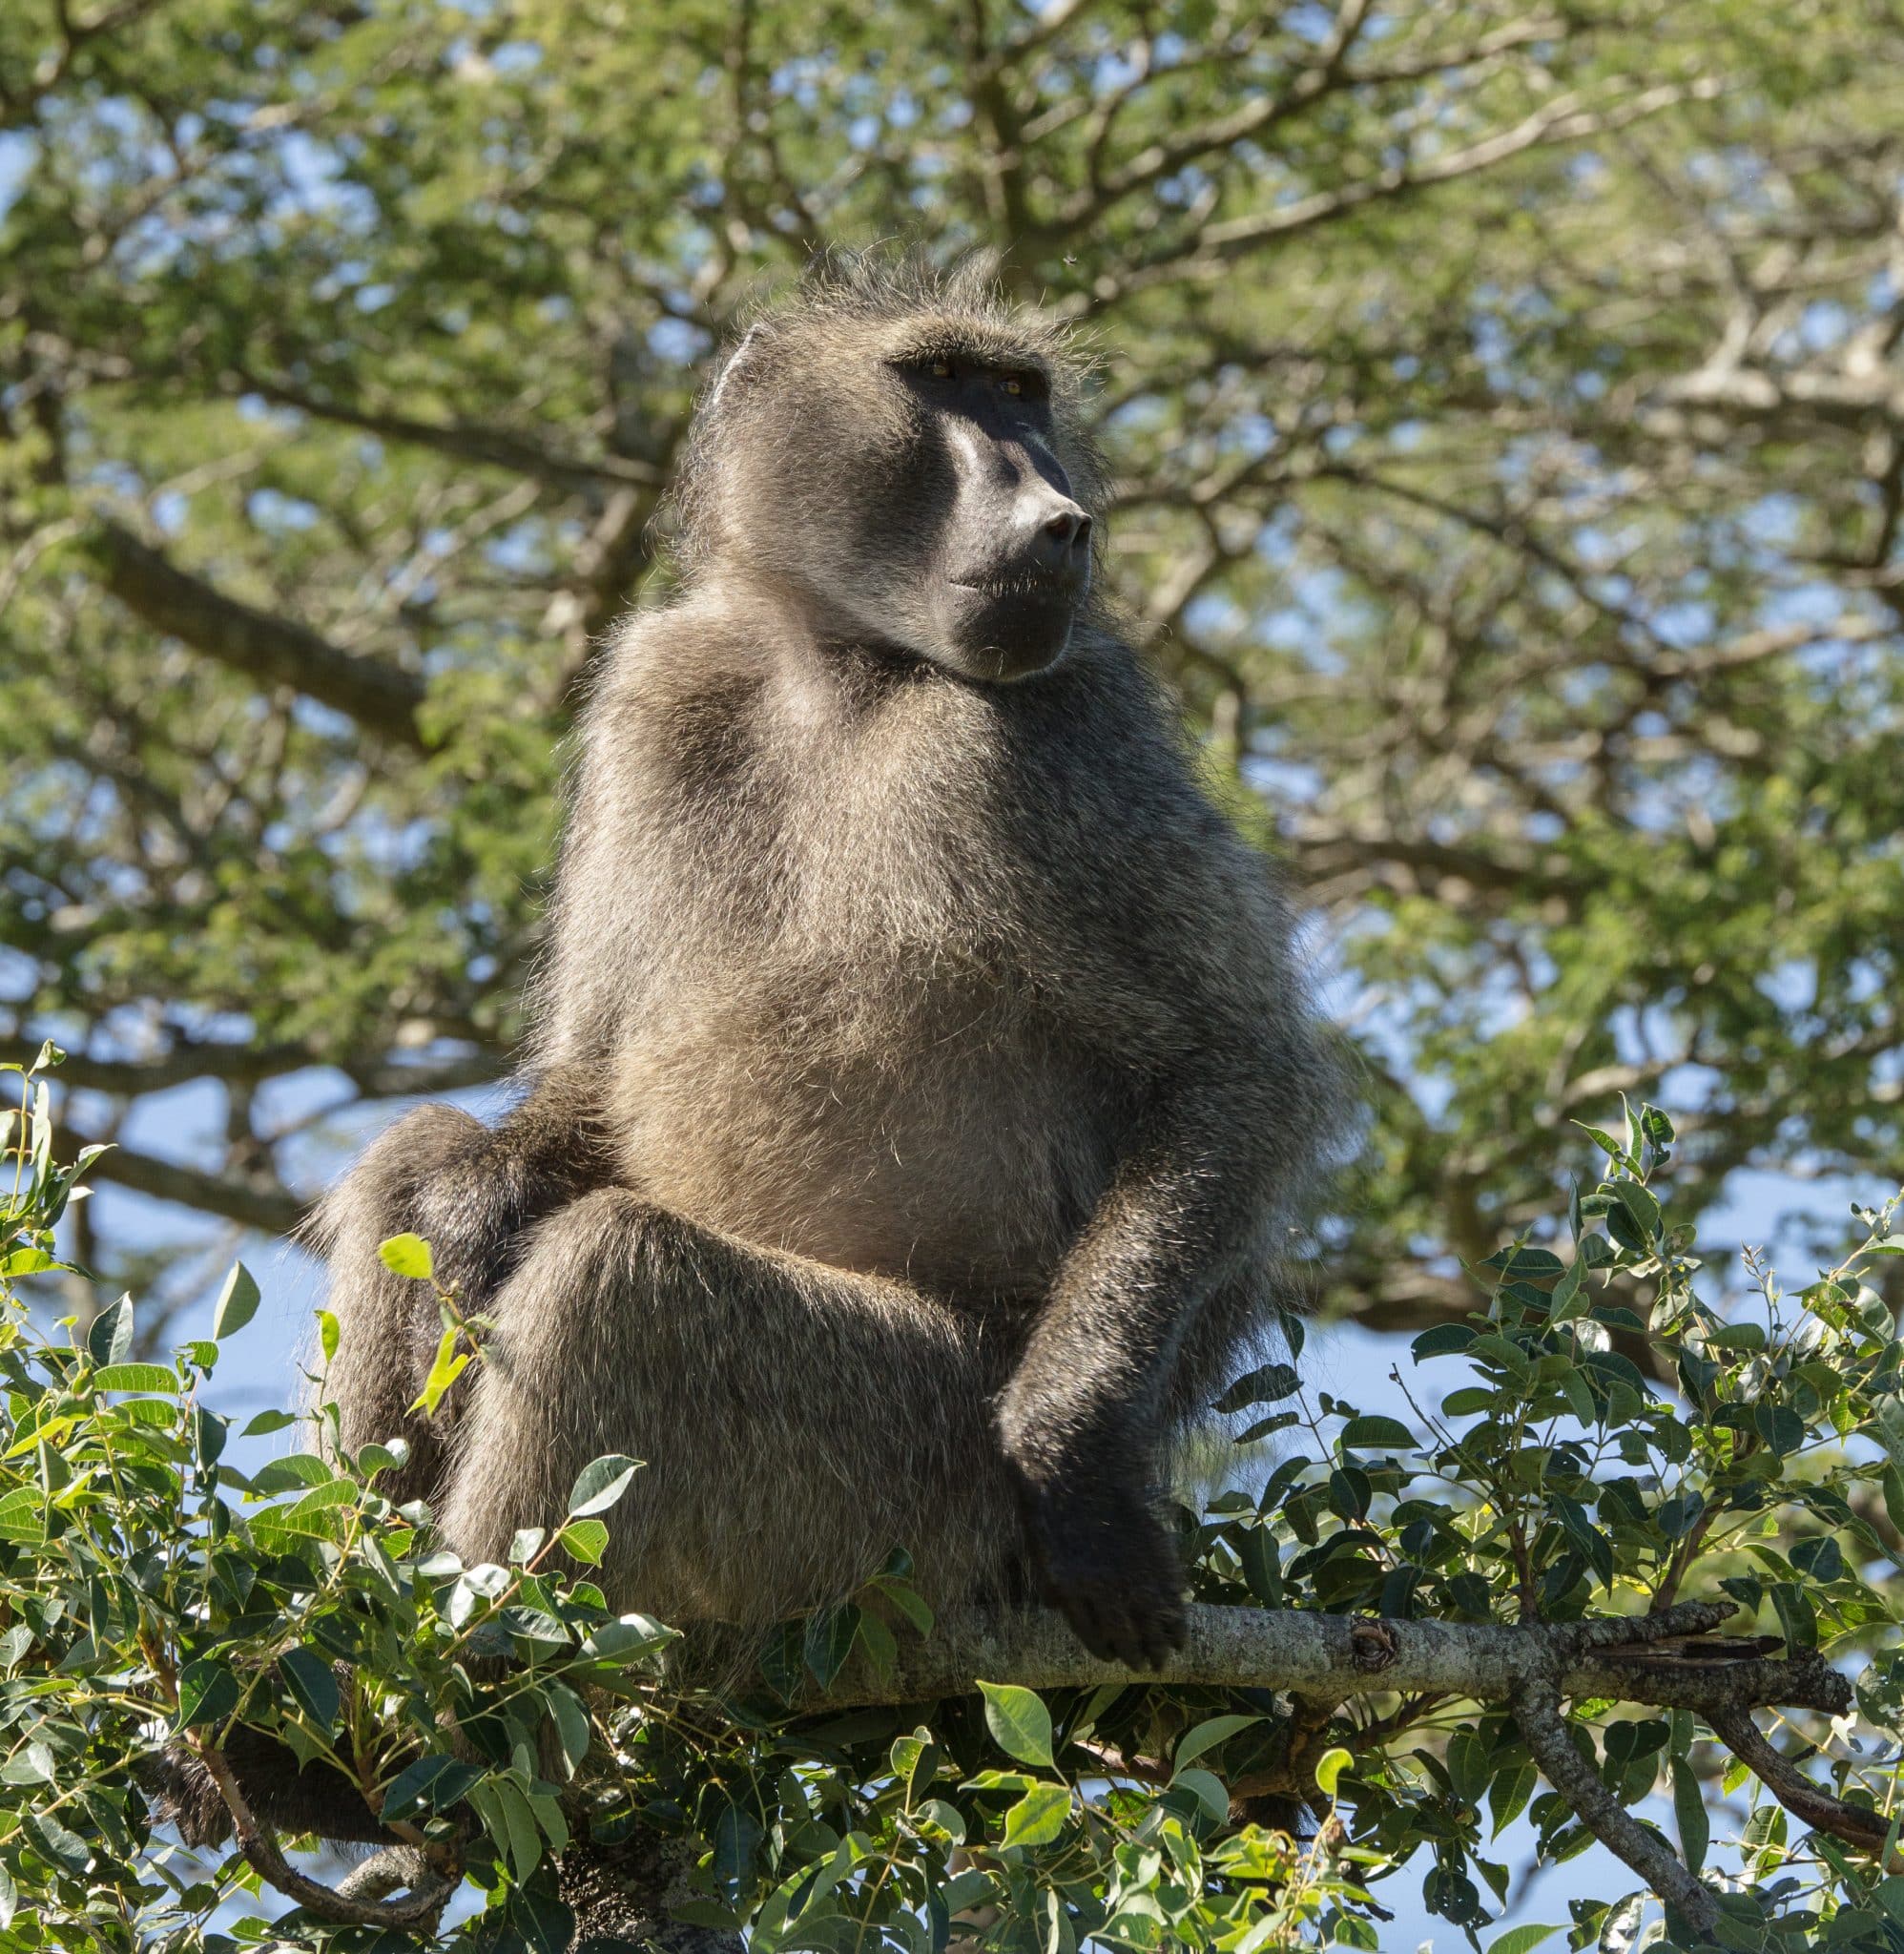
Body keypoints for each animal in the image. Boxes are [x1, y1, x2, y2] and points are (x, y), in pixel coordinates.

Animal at [155, 252, 1346, 1852]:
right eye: (947, 385)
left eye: (1023, 394)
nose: (1059, 518)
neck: (842, 664)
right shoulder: (657, 694)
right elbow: (592, 1071)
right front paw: (479, 1200)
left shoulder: (1074, 725)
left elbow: (1232, 1070)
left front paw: (1077, 1453)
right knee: (418, 1171)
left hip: (909, 1505)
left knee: (627, 1284)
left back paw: (449, 1718)